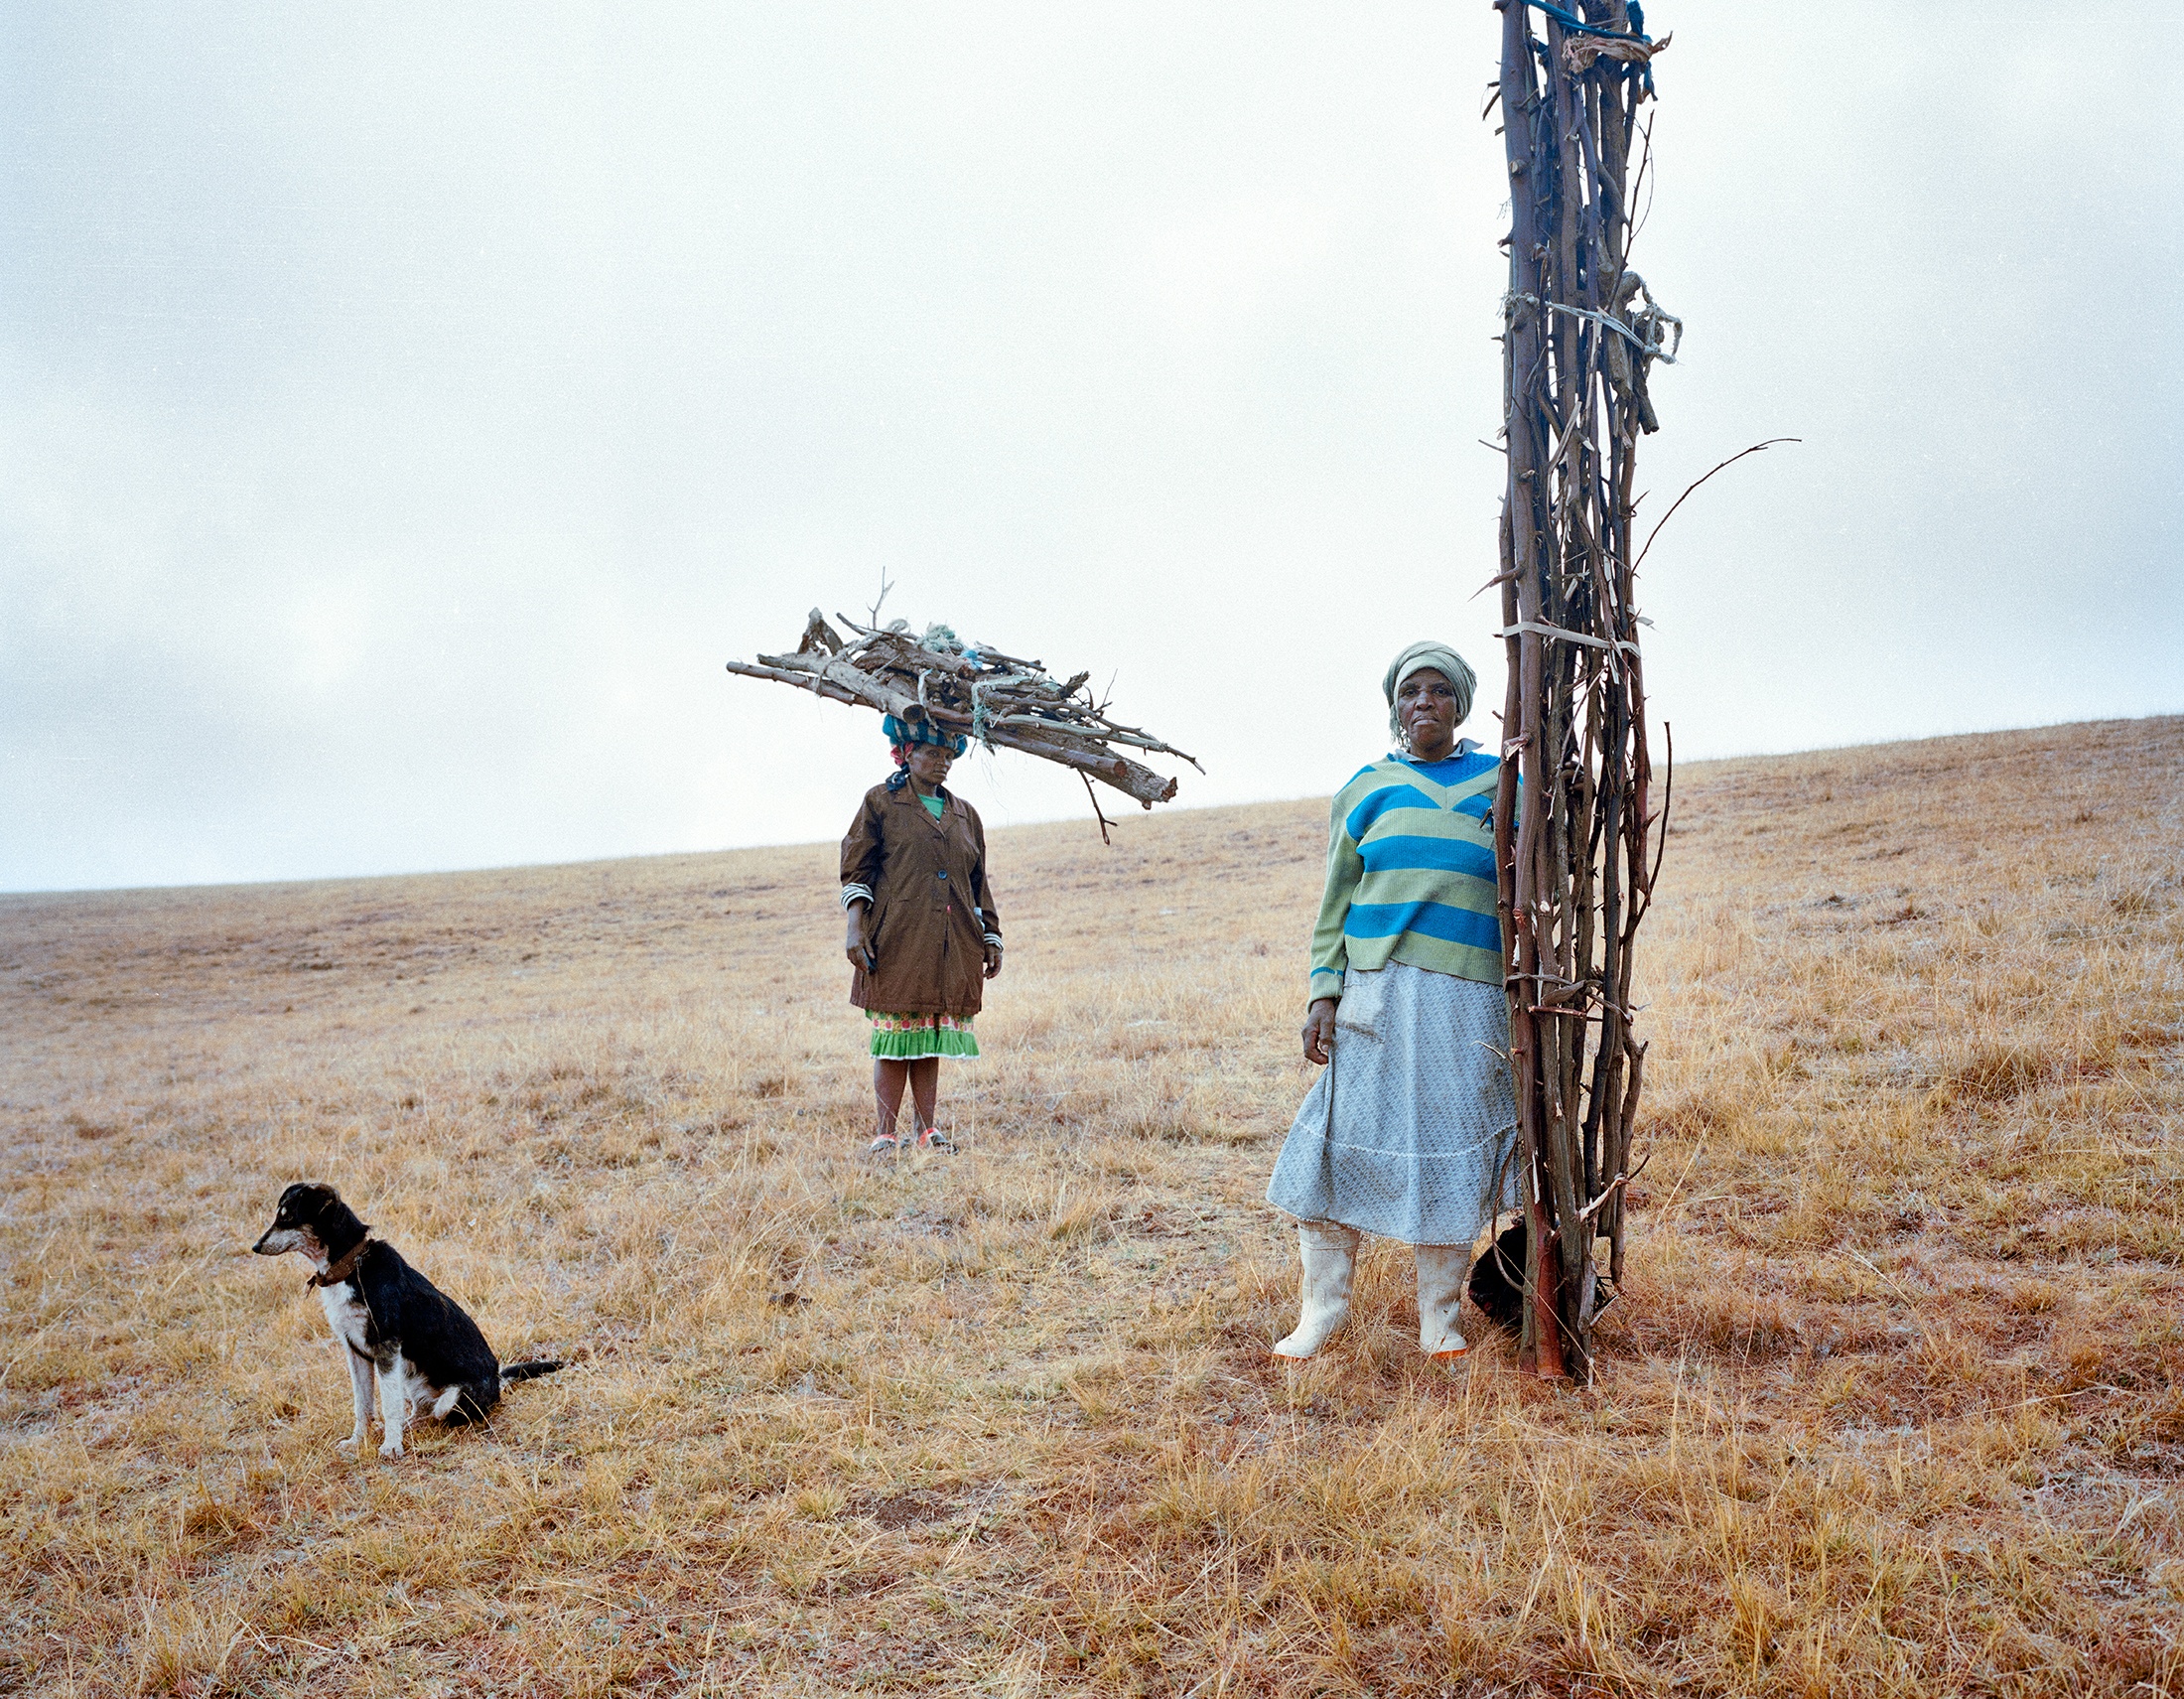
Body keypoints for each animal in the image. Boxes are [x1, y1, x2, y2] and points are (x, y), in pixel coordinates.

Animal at [249, 1179, 559, 1459]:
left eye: (287, 1217)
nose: (255, 1247)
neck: (351, 1267)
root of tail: (497, 1380)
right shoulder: (355, 1352)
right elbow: (363, 1405)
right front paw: (358, 1441)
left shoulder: (386, 1348)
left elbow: (388, 1405)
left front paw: (391, 1446)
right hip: (410, 1375)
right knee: (421, 1410)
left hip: (449, 1395)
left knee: (439, 1412)